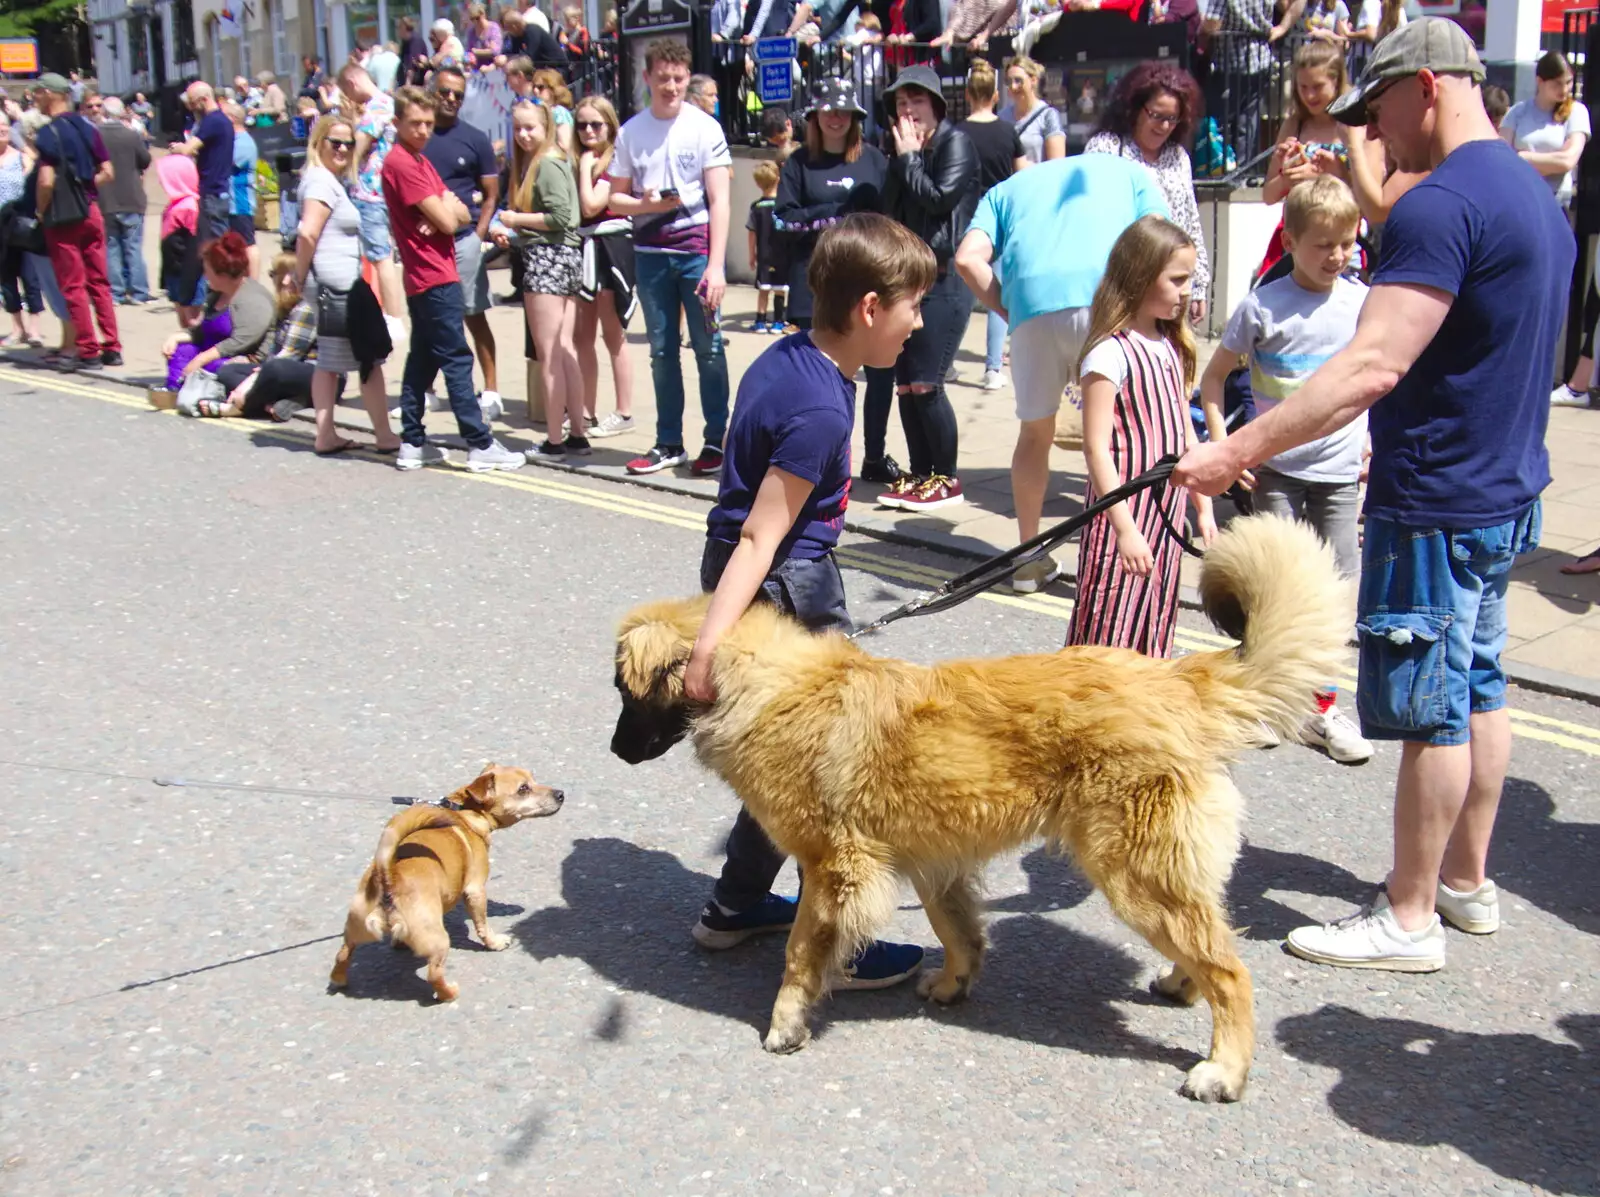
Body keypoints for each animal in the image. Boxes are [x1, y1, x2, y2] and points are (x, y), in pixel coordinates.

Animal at [324, 768, 563, 998]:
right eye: (523, 789)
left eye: (533, 779)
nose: (561, 794)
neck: (465, 812)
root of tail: (389, 876)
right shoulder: (475, 890)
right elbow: (482, 925)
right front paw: (494, 943)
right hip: (439, 940)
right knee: (434, 974)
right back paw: (449, 993)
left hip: (354, 929)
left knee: (342, 954)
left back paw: (339, 980)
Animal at [611, 515, 1350, 1100]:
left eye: (624, 690)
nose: (615, 752)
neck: (764, 685)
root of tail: (1177, 680)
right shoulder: (932, 862)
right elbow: (958, 930)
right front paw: (952, 985)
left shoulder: (833, 869)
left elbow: (800, 952)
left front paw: (786, 1022)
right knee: (1209, 940)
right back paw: (1180, 984)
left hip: (1135, 875)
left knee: (1233, 971)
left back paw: (1223, 1068)